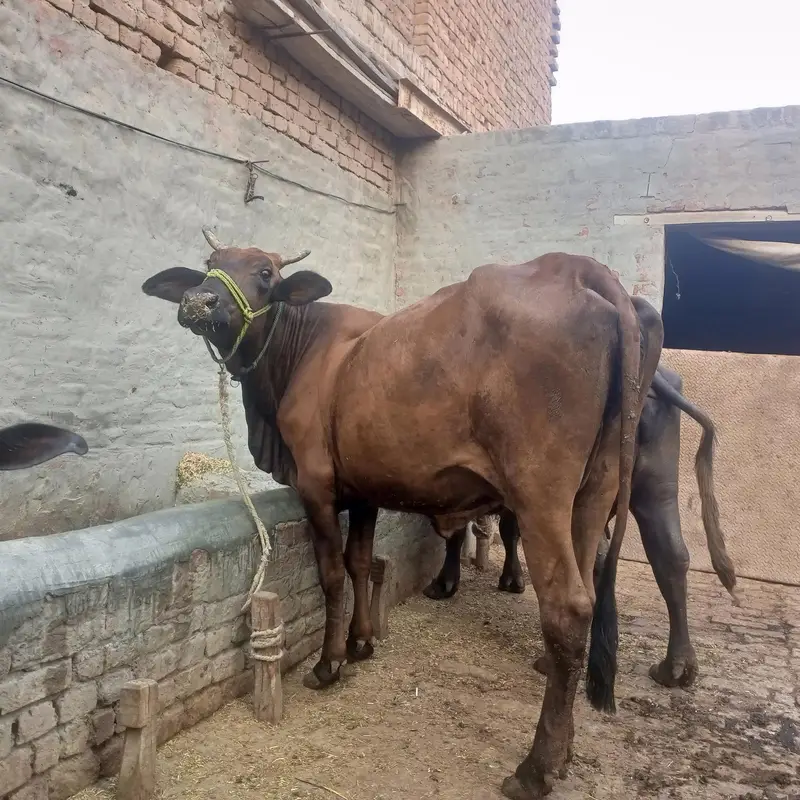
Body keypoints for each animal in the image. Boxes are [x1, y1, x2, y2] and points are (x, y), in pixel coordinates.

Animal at [142, 231, 663, 799]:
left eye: (265, 274)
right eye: (209, 264)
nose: (200, 301)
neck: (300, 356)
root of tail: (579, 269)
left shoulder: (316, 485)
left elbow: (331, 574)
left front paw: (329, 662)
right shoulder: (364, 488)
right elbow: (360, 561)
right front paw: (361, 642)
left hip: (540, 491)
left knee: (568, 607)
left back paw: (536, 767)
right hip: (594, 492)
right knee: (587, 587)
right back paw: (564, 750)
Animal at [423, 365, 738, 689]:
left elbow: (466, 533)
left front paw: (445, 584)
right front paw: (510, 579)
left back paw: (553, 661)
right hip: (655, 488)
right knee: (669, 556)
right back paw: (676, 669)